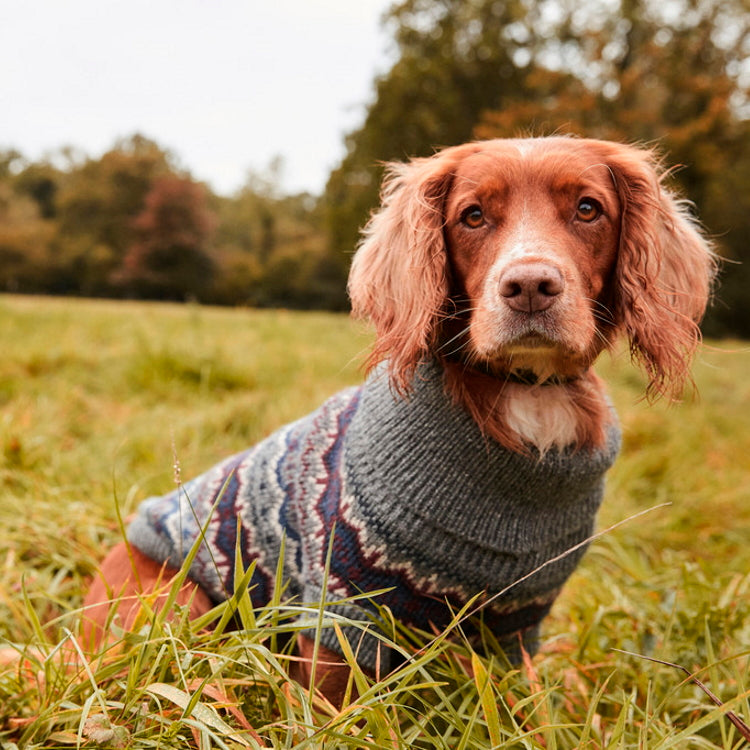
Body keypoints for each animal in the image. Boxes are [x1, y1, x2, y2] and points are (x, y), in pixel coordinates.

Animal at [82, 138, 716, 708]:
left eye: (588, 208)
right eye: (473, 215)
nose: (530, 287)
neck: (525, 392)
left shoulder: (516, 627)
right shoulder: (342, 610)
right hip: (183, 605)